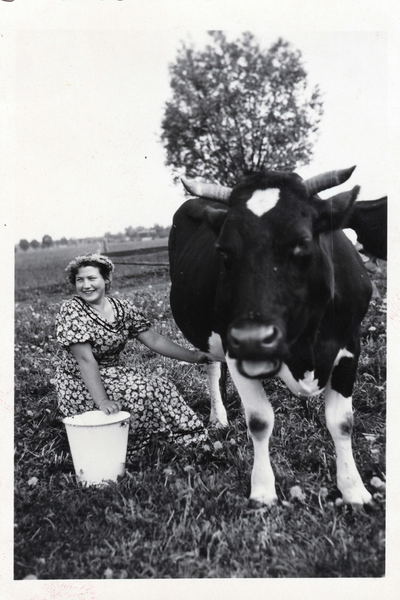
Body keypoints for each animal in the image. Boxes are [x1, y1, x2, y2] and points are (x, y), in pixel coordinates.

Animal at [169, 166, 376, 508]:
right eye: (223, 250)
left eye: (302, 242)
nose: (253, 338)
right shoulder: (234, 349)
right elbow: (260, 421)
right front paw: (263, 489)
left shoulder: (350, 346)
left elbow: (343, 422)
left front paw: (353, 489)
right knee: (211, 367)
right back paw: (218, 417)